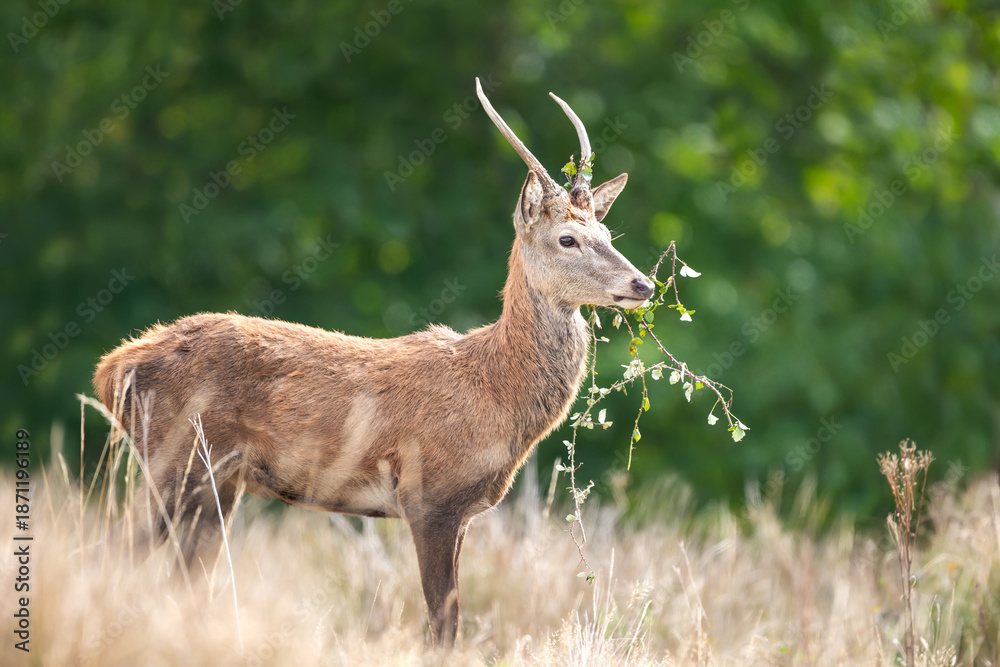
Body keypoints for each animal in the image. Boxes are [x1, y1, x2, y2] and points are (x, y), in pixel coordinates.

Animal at [93, 77, 654, 647]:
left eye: (608, 237)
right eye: (567, 238)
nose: (644, 284)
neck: (494, 390)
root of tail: (110, 368)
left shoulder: (462, 512)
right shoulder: (429, 496)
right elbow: (443, 625)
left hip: (216, 482)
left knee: (180, 577)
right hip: (175, 457)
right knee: (108, 553)